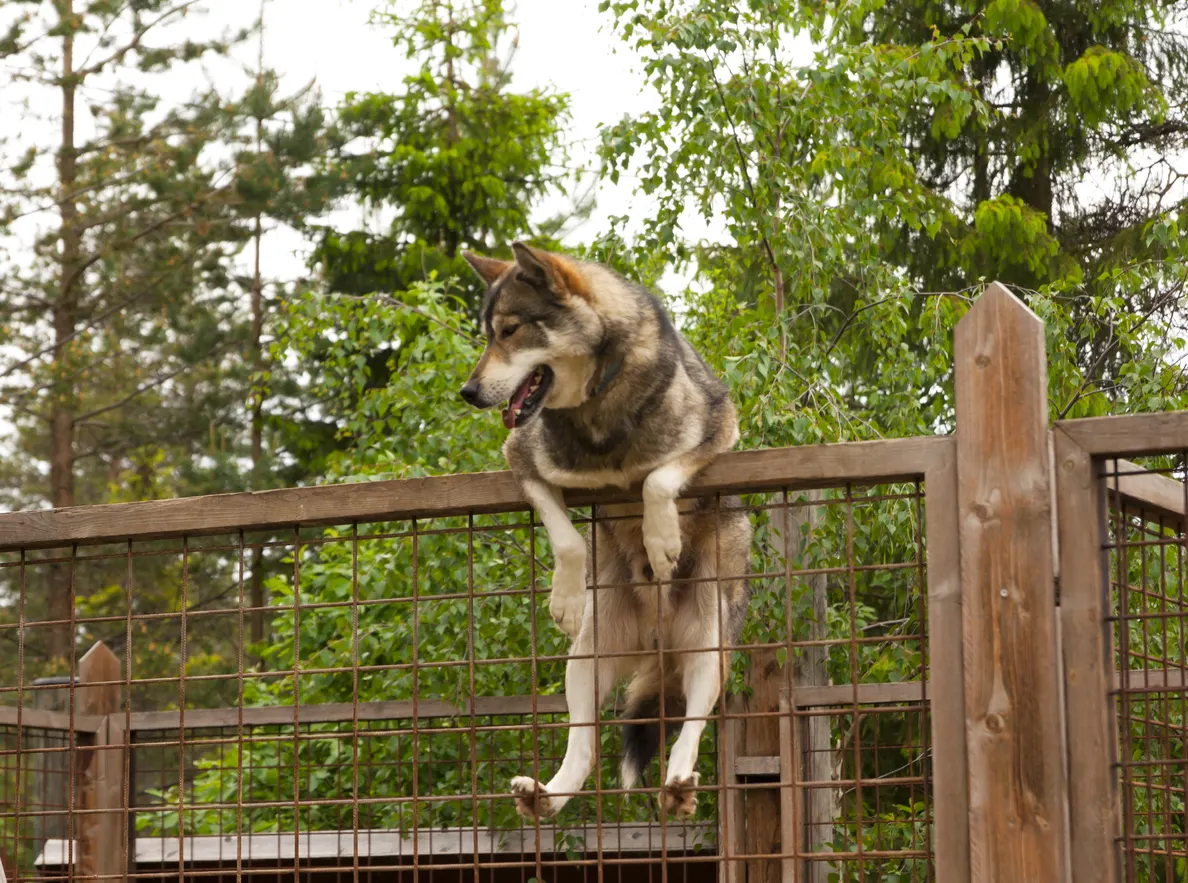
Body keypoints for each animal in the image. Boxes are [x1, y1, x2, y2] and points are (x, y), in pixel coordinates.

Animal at [456, 243, 750, 822]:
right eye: (486, 335)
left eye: (510, 331)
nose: (468, 392)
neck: (598, 404)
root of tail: (658, 639)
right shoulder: (521, 460)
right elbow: (567, 537)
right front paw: (566, 600)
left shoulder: (721, 428)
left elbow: (657, 481)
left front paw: (662, 543)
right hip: (584, 664)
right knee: (584, 748)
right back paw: (545, 796)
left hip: (709, 646)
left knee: (690, 729)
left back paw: (679, 786)